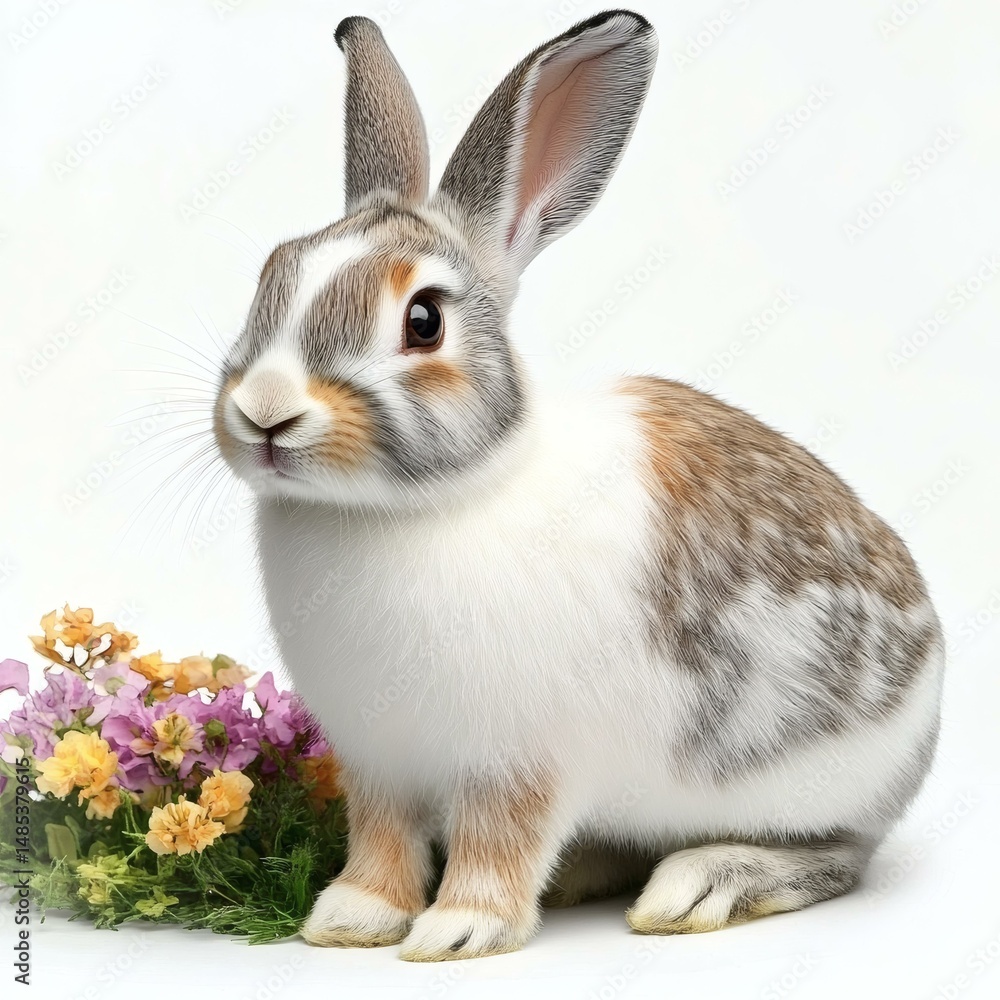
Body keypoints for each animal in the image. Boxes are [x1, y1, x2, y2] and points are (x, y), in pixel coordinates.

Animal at [211, 10, 944, 962]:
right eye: (271, 274)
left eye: (423, 321)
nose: (265, 412)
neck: (422, 504)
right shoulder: (379, 761)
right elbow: (381, 841)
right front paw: (351, 918)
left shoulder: (520, 762)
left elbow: (500, 843)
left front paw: (459, 930)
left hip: (821, 787)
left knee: (838, 857)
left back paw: (696, 886)